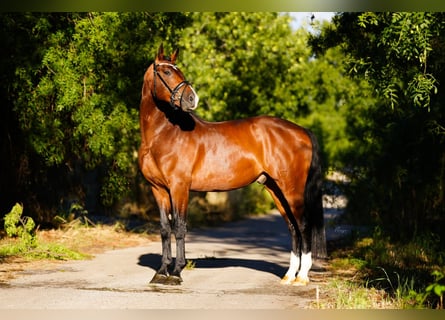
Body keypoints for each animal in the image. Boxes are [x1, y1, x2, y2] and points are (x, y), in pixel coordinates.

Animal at [139, 43, 326, 286]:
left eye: (178, 70)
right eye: (167, 71)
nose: (192, 99)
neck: (164, 135)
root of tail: (301, 131)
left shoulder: (179, 188)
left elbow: (179, 227)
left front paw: (177, 272)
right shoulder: (158, 189)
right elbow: (164, 229)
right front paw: (161, 272)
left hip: (292, 189)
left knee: (303, 225)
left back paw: (302, 277)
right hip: (275, 188)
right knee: (293, 227)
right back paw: (289, 275)